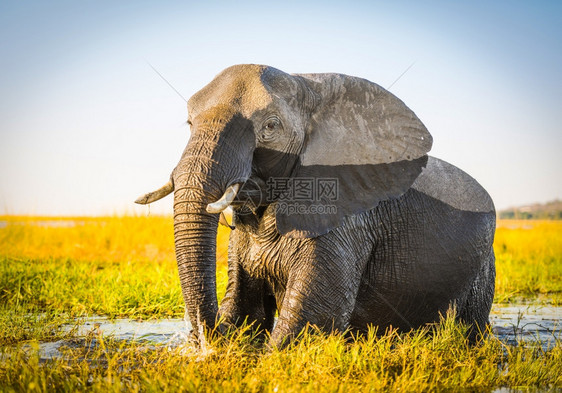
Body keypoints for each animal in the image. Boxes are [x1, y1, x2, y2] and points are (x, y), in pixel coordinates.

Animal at [136, 63, 494, 346]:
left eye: (270, 126)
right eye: (189, 124)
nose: (206, 340)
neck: (308, 86)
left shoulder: (347, 222)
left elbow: (312, 317)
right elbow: (243, 308)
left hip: (481, 273)